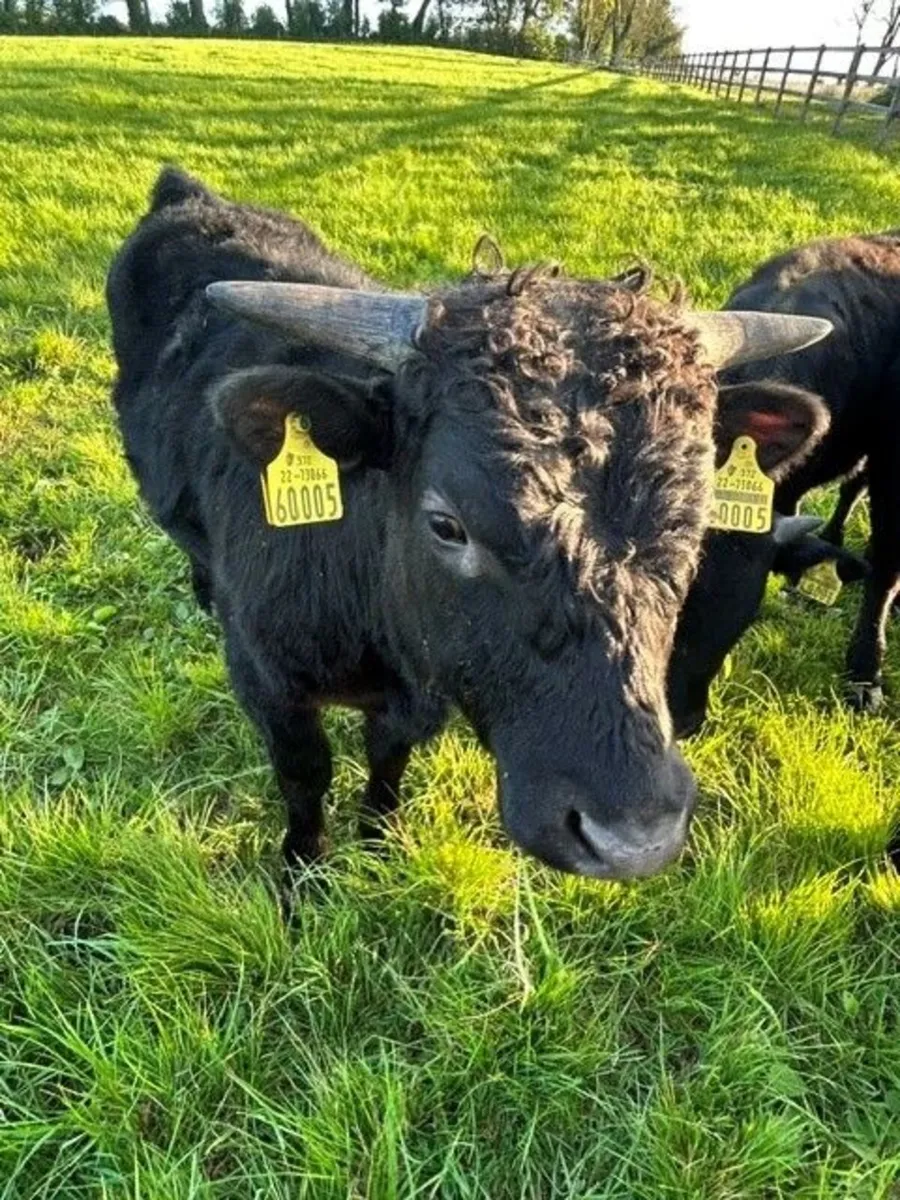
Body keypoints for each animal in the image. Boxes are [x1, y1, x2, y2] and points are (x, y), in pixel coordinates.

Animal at [107, 166, 830, 884]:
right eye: (446, 524)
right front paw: (302, 871)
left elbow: (387, 756)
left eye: (698, 518)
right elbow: (305, 775)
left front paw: (378, 839)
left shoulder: (411, 702)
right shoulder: (267, 683)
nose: (632, 836)